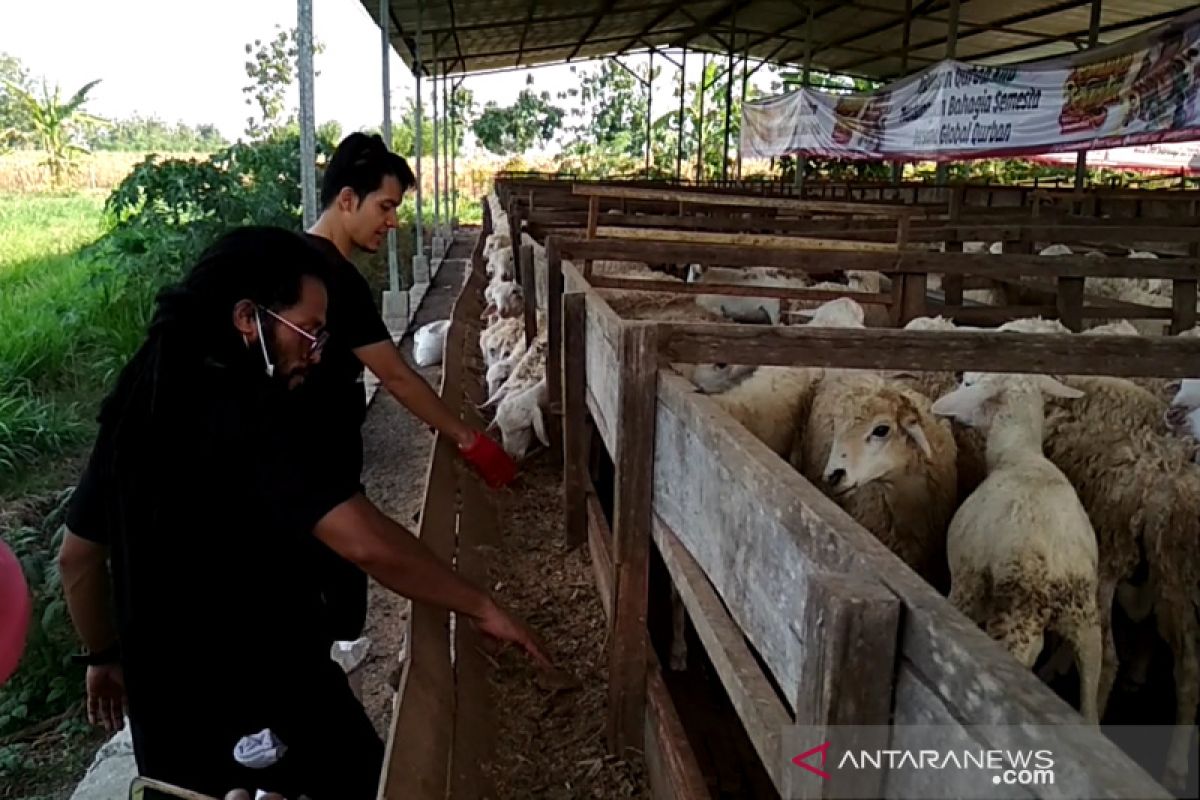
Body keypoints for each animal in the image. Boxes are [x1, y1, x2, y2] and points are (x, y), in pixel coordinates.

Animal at [931, 371, 1099, 724]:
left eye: (968, 384)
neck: (1018, 455)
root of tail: (1054, 568)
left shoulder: (964, 588)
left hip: (1014, 619)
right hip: (1086, 621)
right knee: (1091, 708)